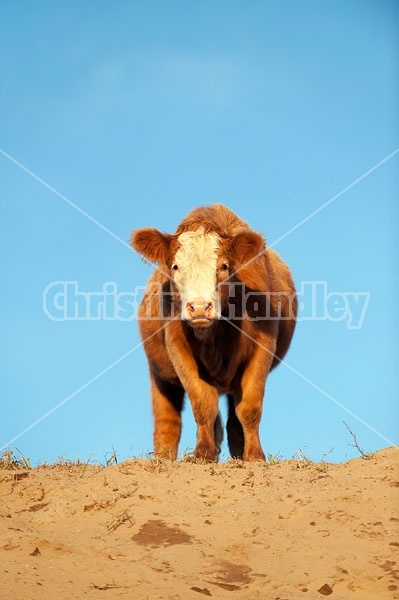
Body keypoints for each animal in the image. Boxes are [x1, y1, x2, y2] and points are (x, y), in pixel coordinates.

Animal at [132, 204, 296, 462]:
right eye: (175, 266)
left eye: (224, 266)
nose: (199, 307)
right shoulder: (177, 348)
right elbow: (203, 404)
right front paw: (203, 453)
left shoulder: (263, 346)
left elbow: (249, 408)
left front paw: (255, 456)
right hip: (159, 372)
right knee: (167, 421)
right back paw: (164, 459)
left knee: (233, 423)